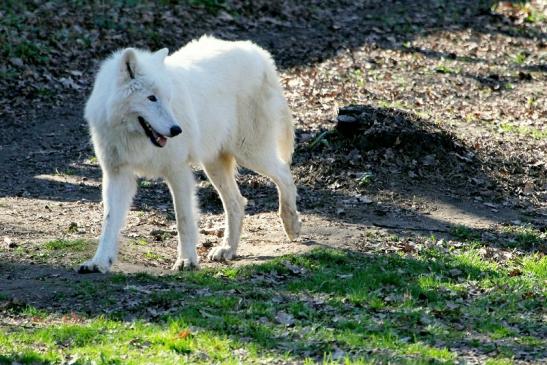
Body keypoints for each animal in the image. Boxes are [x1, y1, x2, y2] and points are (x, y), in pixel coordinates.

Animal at [81, 35, 302, 272]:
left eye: (168, 98)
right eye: (152, 98)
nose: (176, 130)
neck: (134, 138)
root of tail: (257, 52)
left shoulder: (177, 171)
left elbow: (184, 219)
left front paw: (187, 260)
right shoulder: (117, 175)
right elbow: (109, 221)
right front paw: (99, 261)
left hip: (250, 153)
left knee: (285, 174)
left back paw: (292, 225)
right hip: (214, 164)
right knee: (237, 202)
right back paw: (227, 249)